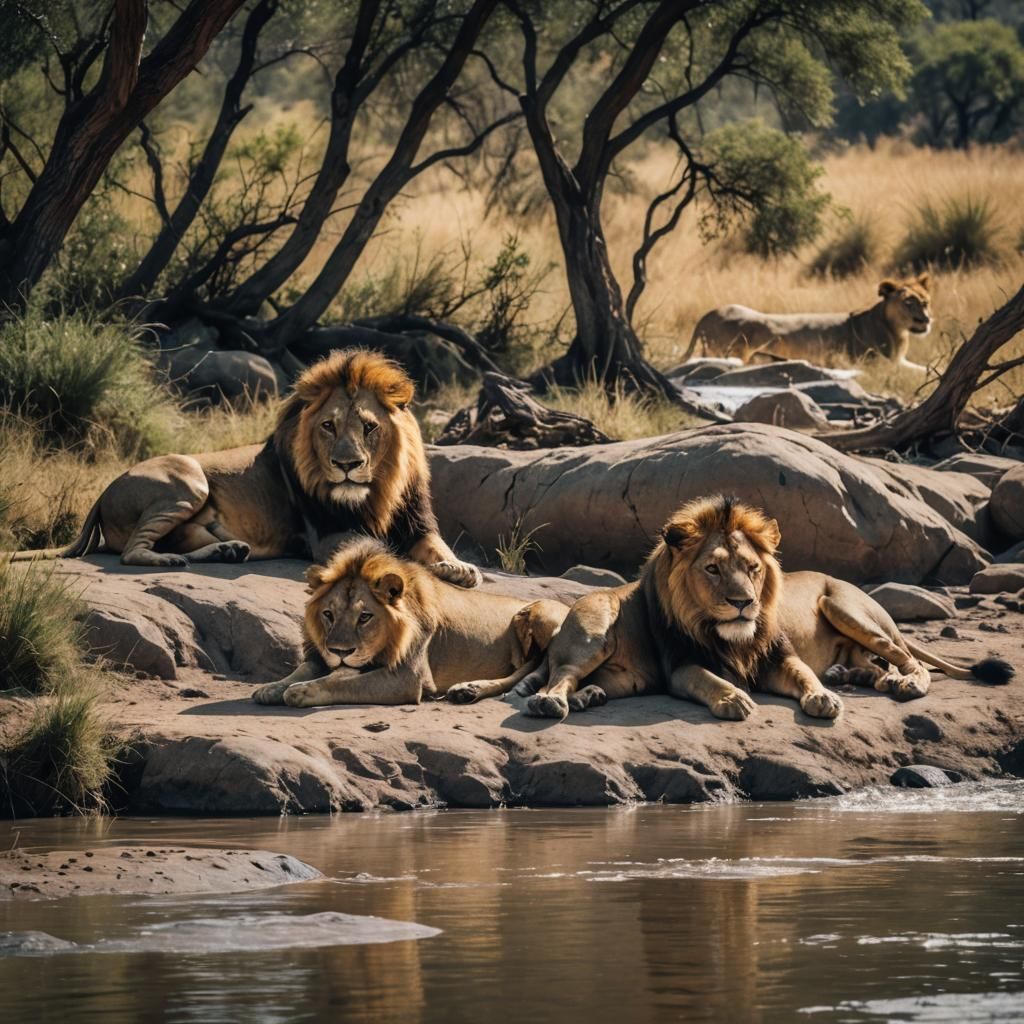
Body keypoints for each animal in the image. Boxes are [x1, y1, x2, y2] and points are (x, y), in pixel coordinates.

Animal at [13, 349, 480, 586]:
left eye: (369, 427)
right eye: (328, 426)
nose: (347, 465)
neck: (377, 489)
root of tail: (104, 490)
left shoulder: (418, 524)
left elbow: (438, 548)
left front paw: (458, 568)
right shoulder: (328, 535)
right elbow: (383, 552)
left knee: (181, 540)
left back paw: (228, 550)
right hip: (187, 479)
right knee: (131, 552)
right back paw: (172, 561)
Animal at [251, 538, 569, 707]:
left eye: (365, 617)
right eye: (328, 614)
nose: (340, 652)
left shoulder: (406, 678)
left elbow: (342, 683)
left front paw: (301, 691)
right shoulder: (323, 655)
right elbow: (305, 668)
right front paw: (273, 687)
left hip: (534, 612)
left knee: (528, 668)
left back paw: (469, 689)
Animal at [521, 495, 1012, 721]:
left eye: (752, 568)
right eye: (713, 569)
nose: (744, 603)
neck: (724, 634)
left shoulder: (779, 657)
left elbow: (805, 674)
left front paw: (823, 696)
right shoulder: (680, 666)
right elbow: (708, 678)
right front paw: (733, 697)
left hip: (843, 607)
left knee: (910, 661)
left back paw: (895, 683)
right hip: (596, 638)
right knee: (562, 676)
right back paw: (562, 700)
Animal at [685, 274, 932, 369]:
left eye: (926, 301)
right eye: (908, 302)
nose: (927, 319)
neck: (897, 330)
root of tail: (707, 315)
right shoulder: (879, 363)